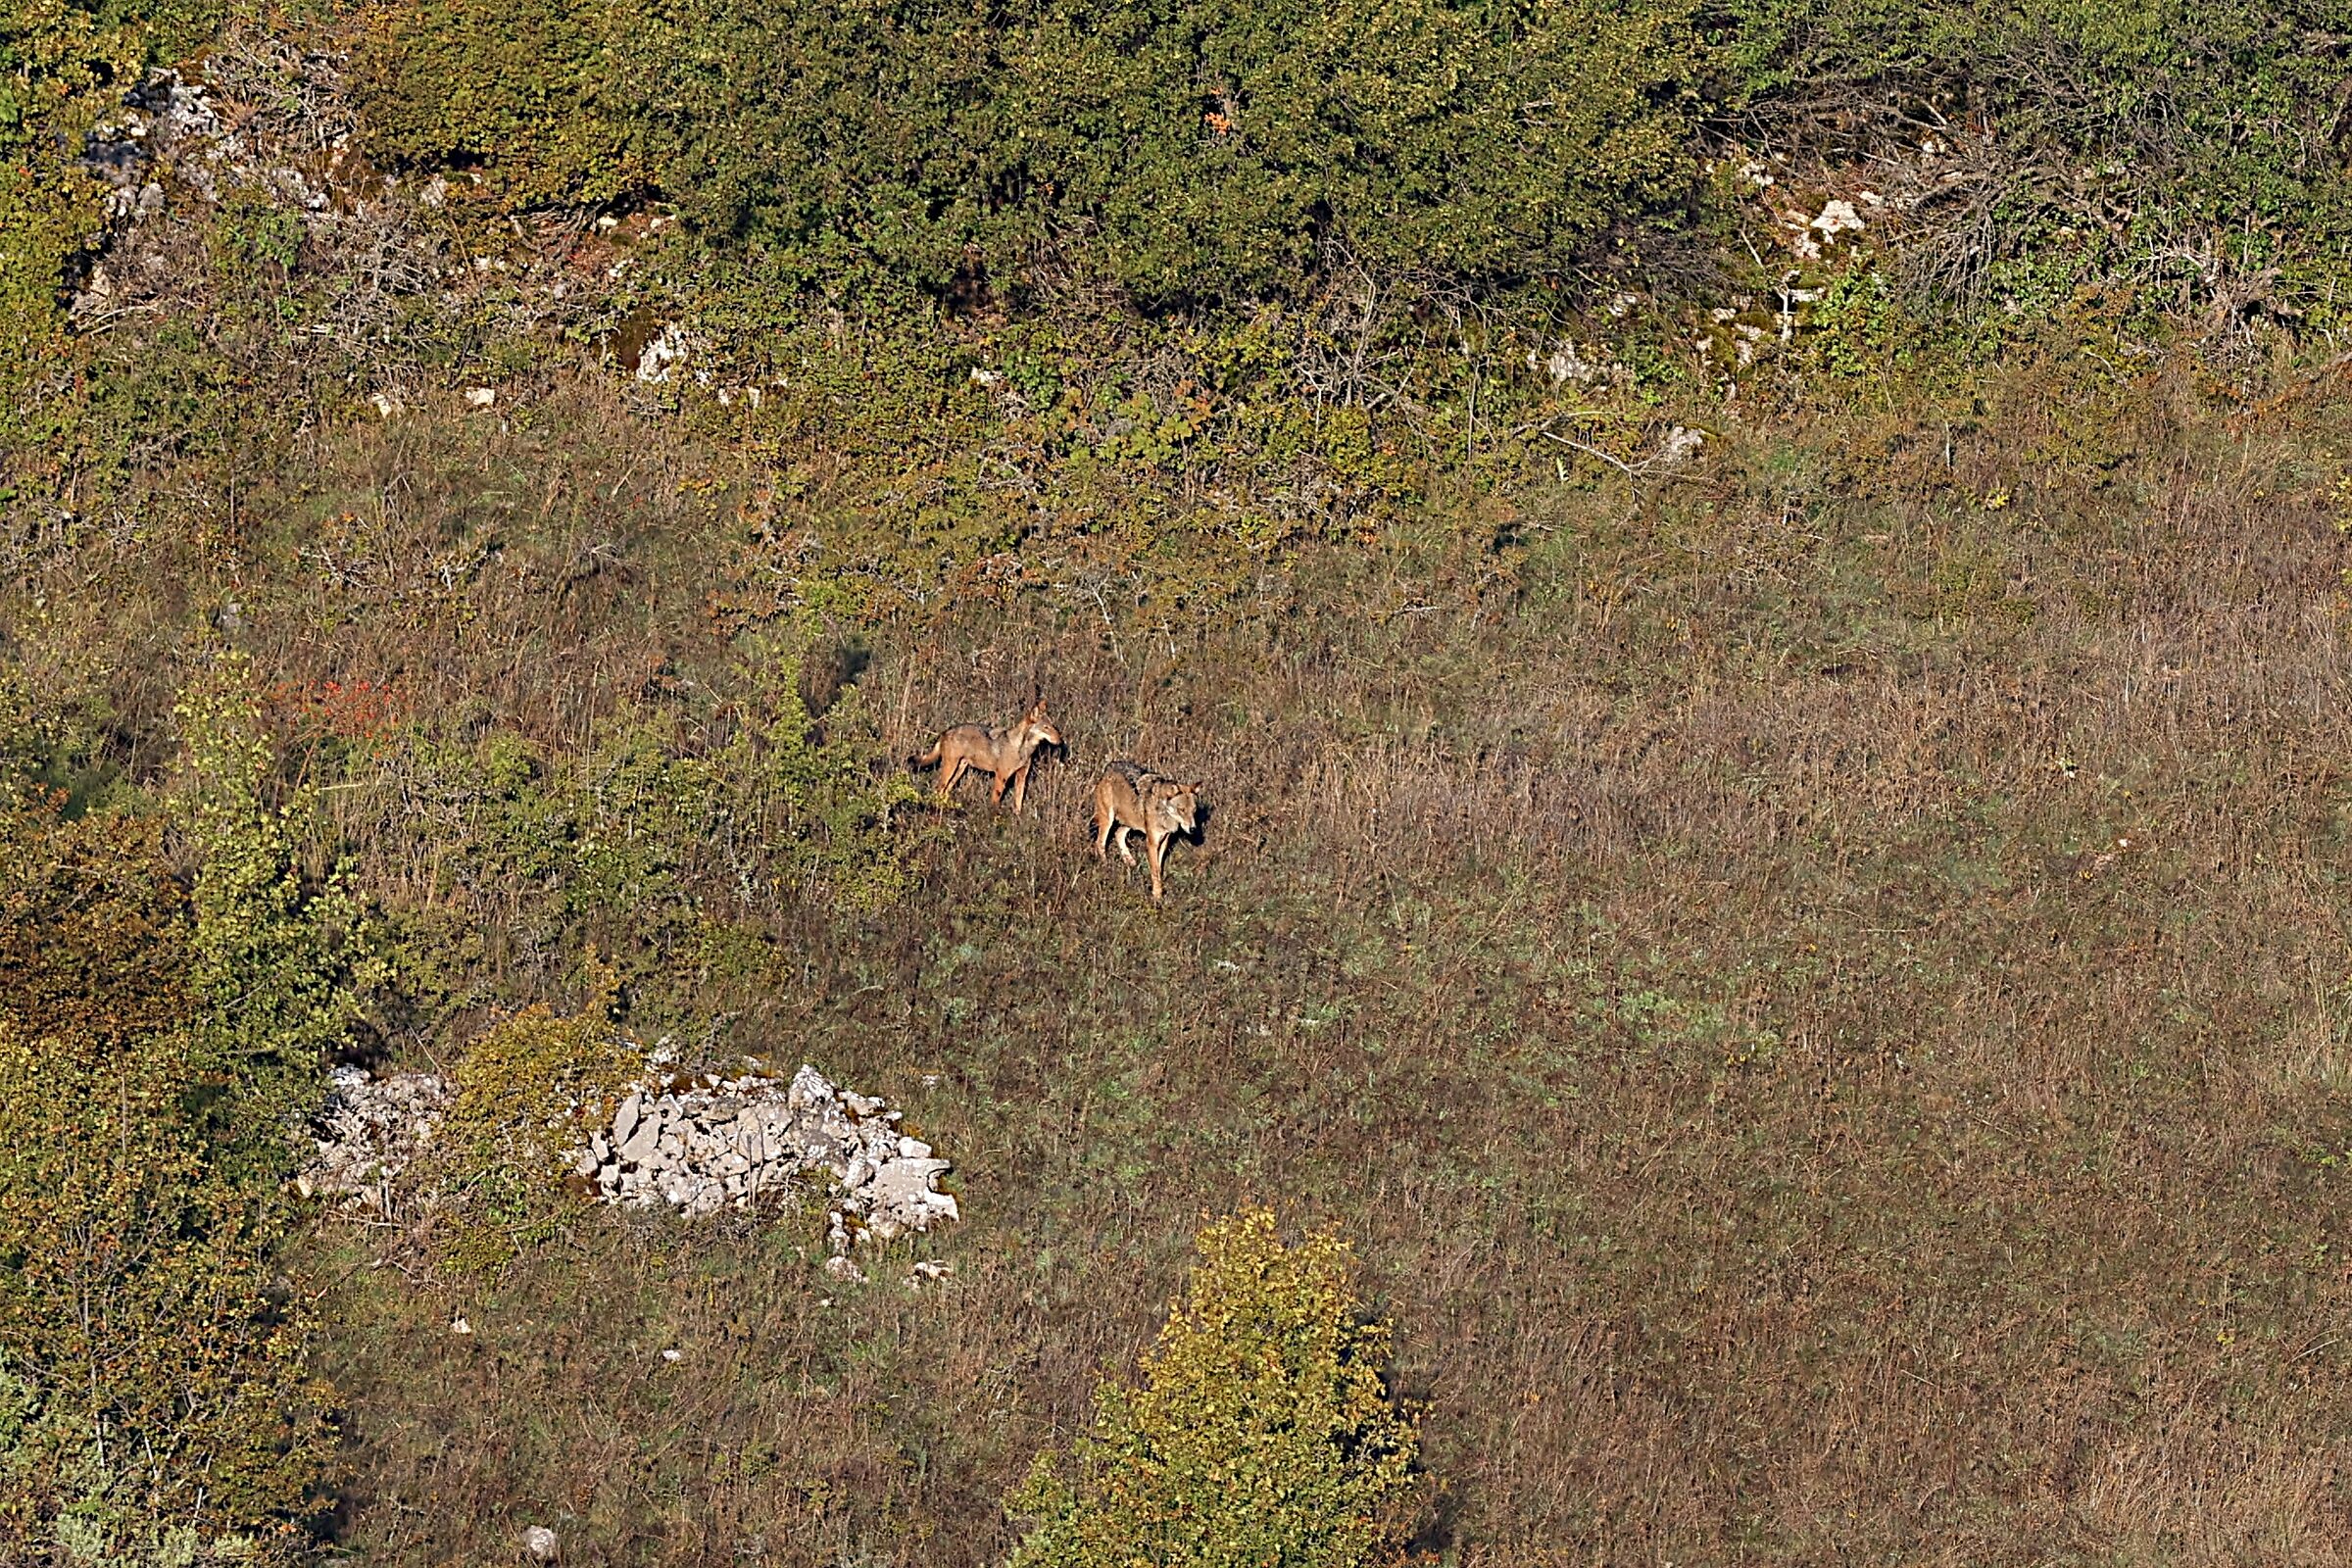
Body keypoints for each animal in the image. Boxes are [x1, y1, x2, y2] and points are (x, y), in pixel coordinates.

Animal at [909, 694, 1062, 814]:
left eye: (1053, 726)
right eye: (1046, 728)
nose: (1060, 740)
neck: (1022, 748)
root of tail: (945, 731)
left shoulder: (1021, 777)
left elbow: (1018, 803)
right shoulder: (1001, 777)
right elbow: (995, 801)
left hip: (959, 770)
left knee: (945, 790)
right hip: (951, 768)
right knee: (938, 789)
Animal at [1092, 761, 1202, 901]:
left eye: (1194, 810)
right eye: (1181, 810)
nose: (1193, 829)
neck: (1163, 812)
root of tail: (1109, 766)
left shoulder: (1164, 841)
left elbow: (1159, 867)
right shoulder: (1152, 843)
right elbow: (1155, 870)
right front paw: (1158, 896)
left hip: (1131, 821)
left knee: (1118, 834)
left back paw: (1130, 861)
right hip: (1108, 820)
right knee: (1099, 843)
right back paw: (1106, 868)